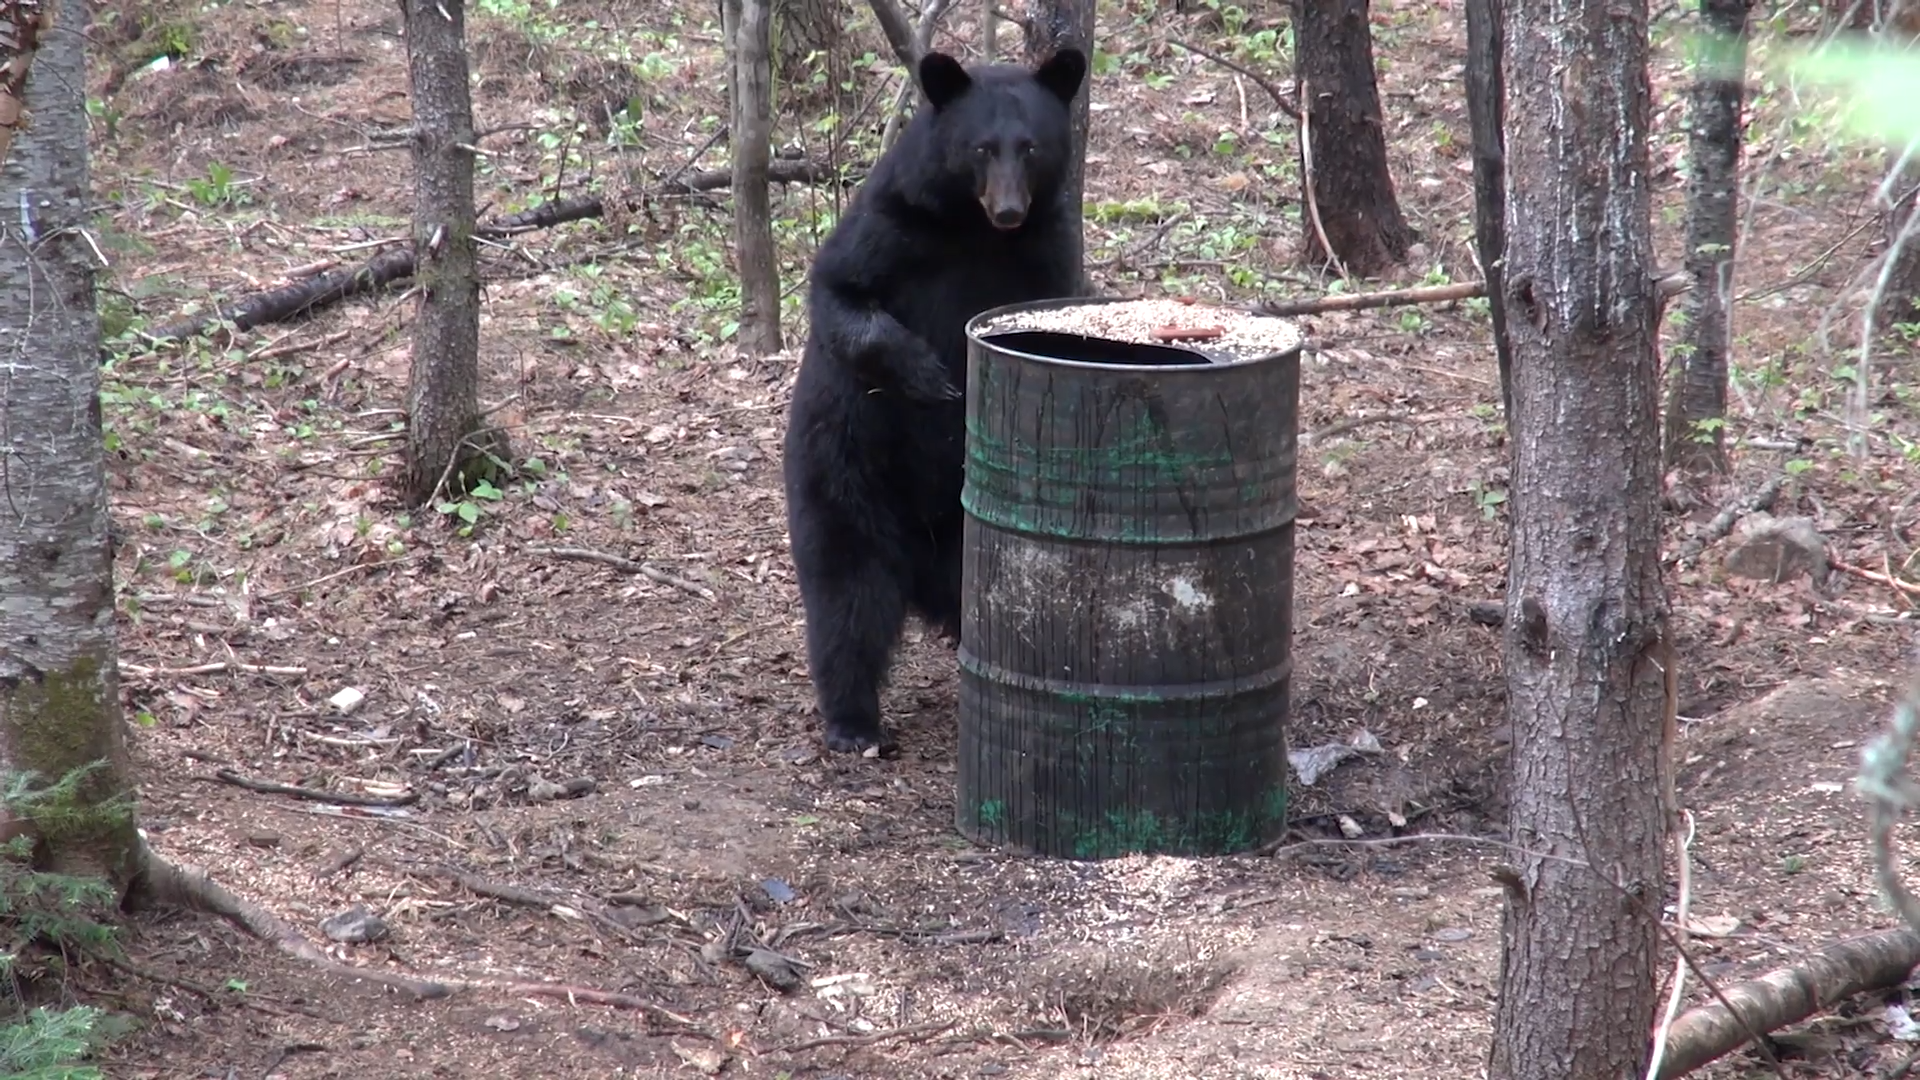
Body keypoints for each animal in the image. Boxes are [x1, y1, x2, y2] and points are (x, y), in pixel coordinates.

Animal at [781, 46, 1089, 753]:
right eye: (980, 147)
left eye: (1031, 147)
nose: (1008, 209)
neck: (973, 232)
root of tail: (919, 571)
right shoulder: (890, 226)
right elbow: (840, 294)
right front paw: (929, 374)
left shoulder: (1048, 251)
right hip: (845, 479)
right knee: (848, 602)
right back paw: (854, 723)